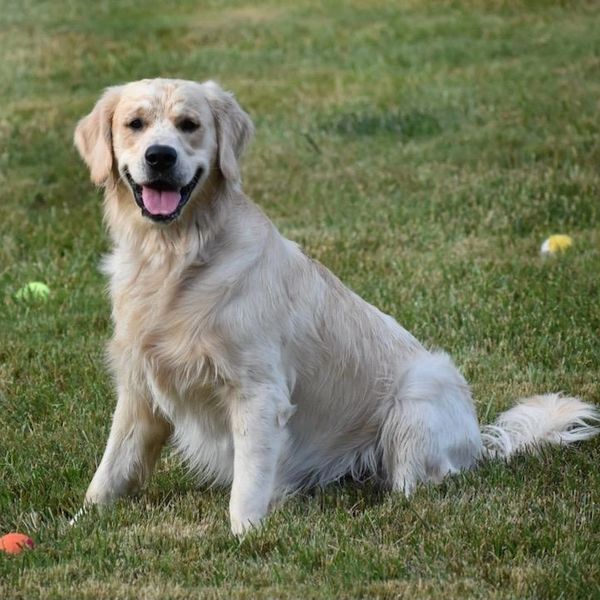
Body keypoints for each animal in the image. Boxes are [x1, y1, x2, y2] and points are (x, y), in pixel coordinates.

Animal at [72, 79, 596, 536]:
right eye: (135, 124)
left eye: (189, 124)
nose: (160, 156)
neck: (176, 258)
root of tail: (478, 444)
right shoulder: (139, 388)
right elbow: (111, 469)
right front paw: (79, 525)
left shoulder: (258, 393)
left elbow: (249, 481)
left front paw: (245, 535)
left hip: (419, 395)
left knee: (419, 489)